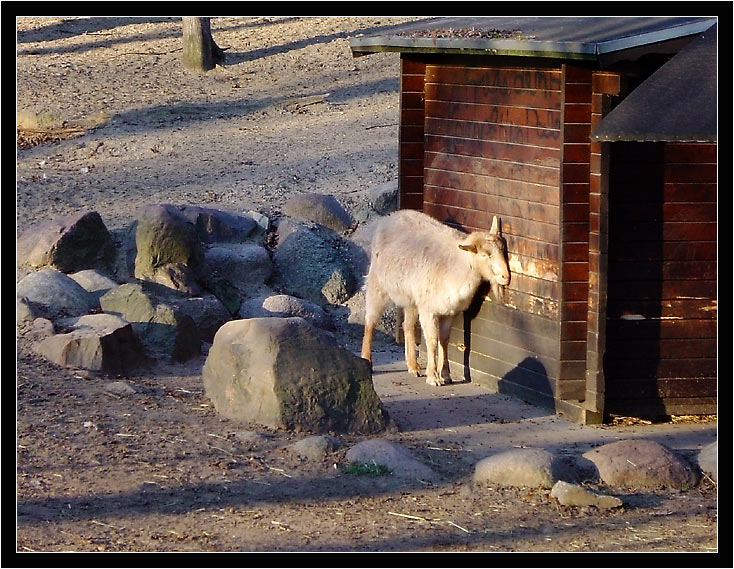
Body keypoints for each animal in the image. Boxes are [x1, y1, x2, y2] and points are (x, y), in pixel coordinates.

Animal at [362, 209, 512, 386]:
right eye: (484, 255)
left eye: (503, 251)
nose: (506, 276)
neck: (458, 265)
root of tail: (389, 217)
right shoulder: (429, 310)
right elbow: (432, 340)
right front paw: (433, 376)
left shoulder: (450, 310)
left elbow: (444, 340)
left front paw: (445, 374)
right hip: (378, 283)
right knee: (370, 321)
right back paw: (367, 360)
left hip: (412, 297)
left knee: (408, 325)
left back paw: (413, 366)